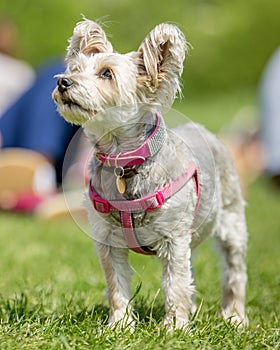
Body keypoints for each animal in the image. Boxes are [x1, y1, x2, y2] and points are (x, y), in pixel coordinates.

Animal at [52, 17, 247, 330]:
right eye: (75, 69)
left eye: (106, 73)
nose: (63, 81)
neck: (125, 162)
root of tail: (204, 130)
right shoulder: (107, 239)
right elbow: (116, 284)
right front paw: (119, 325)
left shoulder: (174, 238)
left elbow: (175, 283)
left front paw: (175, 327)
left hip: (232, 224)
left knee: (234, 272)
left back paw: (234, 317)